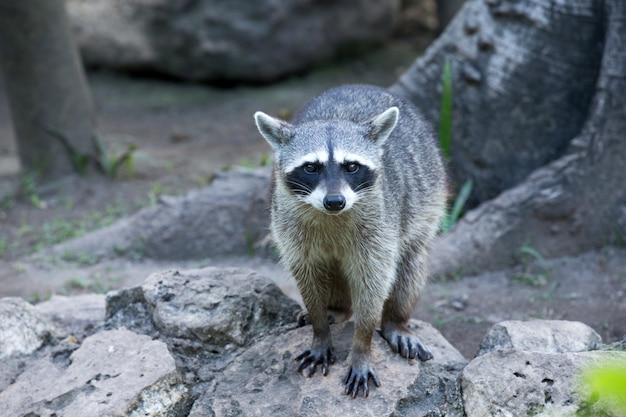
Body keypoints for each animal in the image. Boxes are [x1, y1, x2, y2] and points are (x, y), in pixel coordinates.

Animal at [251, 83, 446, 396]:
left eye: (351, 166)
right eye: (311, 167)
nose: (335, 201)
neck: (330, 215)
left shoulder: (380, 227)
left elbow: (374, 283)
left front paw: (362, 346)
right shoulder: (289, 227)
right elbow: (308, 278)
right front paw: (320, 330)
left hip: (427, 198)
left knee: (410, 266)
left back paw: (396, 320)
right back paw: (337, 310)